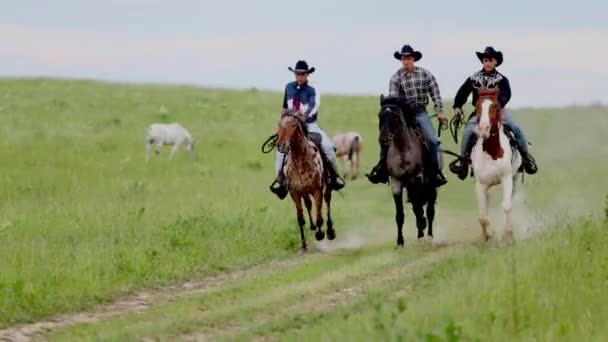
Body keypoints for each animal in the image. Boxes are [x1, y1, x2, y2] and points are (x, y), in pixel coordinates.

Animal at [276, 109, 338, 251]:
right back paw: (312, 227)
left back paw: (329, 231)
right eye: (279, 124)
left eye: (293, 125)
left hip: (327, 188)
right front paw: (303, 245)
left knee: (327, 202)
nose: (281, 146)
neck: (301, 161)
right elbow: (300, 219)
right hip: (304, 192)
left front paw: (320, 234)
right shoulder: (295, 193)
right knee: (309, 204)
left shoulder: (317, 190)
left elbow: (319, 215)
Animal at [378, 95, 440, 246]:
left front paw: (422, 229)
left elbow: (420, 210)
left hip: (432, 187)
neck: (402, 151)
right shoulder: (396, 182)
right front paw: (400, 242)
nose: (383, 140)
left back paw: (429, 236)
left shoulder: (416, 179)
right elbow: (400, 215)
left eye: (394, 116)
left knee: (430, 211)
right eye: (379, 116)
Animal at [470, 89, 524, 242]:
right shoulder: (480, 184)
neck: (492, 152)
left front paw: (508, 236)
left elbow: (506, 206)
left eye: (496, 106)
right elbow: (482, 215)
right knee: (487, 203)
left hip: (515, 179)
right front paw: (488, 234)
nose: (484, 128)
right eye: (477, 106)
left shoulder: (507, 178)